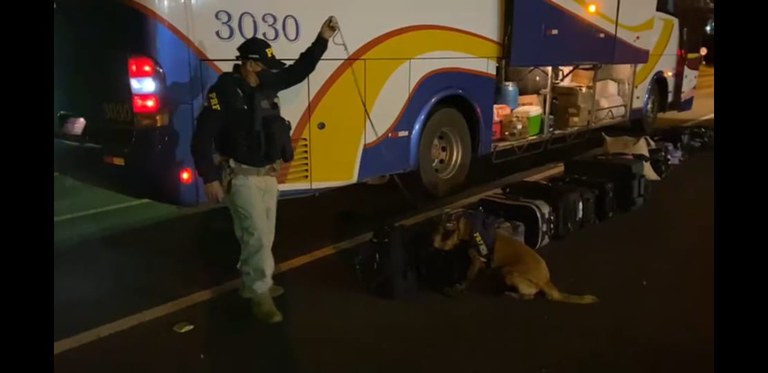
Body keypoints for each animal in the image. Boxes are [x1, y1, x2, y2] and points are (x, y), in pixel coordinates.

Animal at [432, 208, 600, 304]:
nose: (433, 243)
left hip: (509, 272)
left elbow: (468, 277)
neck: (469, 226)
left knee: (528, 296)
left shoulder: (475, 262)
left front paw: (460, 287)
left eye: (445, 234)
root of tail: (546, 281)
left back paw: (511, 294)